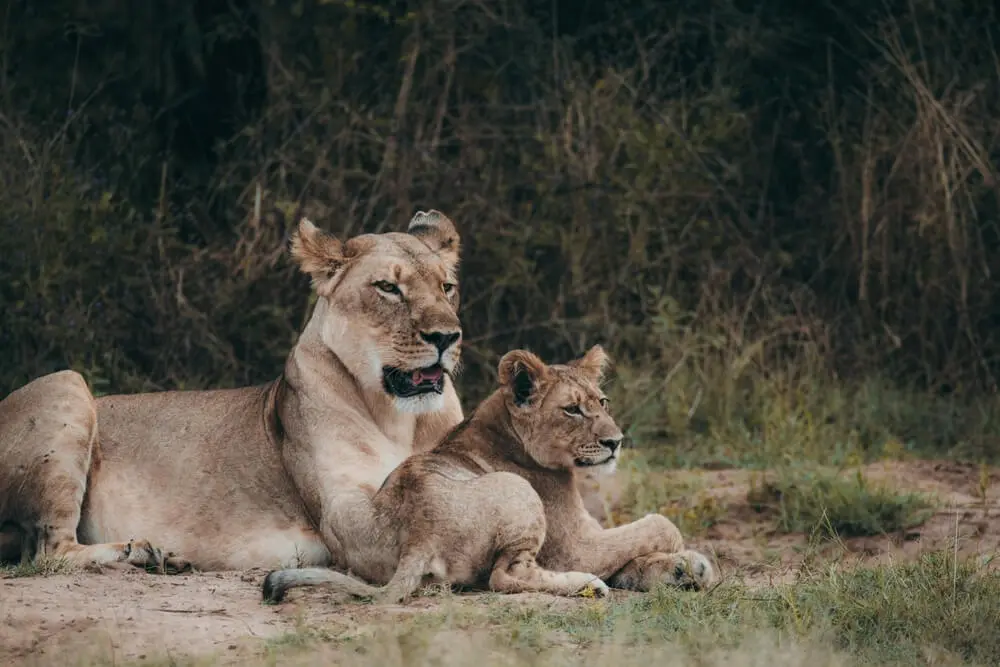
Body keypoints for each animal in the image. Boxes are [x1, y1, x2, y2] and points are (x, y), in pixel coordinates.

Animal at [0, 210, 469, 576]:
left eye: (447, 287)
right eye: (388, 288)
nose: (446, 337)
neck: (400, 418)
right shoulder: (341, 512)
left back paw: (165, 559)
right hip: (67, 382)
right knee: (48, 554)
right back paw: (138, 552)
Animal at [260, 345, 716, 604]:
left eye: (602, 402)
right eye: (572, 409)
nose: (615, 442)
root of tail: (418, 534)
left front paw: (682, 569)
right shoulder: (575, 545)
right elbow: (660, 524)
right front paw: (686, 560)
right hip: (519, 494)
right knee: (505, 577)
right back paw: (587, 586)